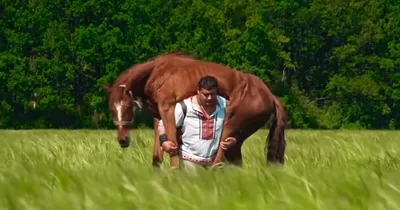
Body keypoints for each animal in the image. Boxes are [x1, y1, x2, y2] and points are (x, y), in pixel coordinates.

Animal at [101, 51, 286, 169]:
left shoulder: (167, 108)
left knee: (220, 158)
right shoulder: (157, 115)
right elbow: (158, 154)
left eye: (127, 107)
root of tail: (270, 95)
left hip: (230, 124)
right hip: (238, 137)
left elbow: (173, 148)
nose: (123, 140)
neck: (156, 72)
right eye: (111, 109)